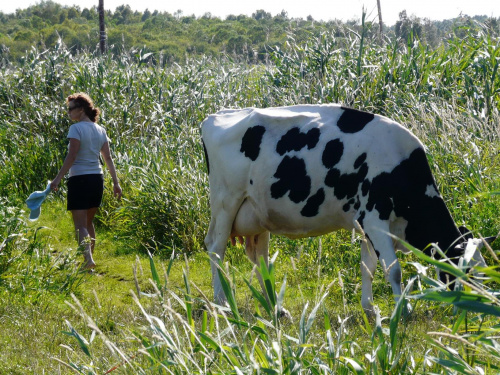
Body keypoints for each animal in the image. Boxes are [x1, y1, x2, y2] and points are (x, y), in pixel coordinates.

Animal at [201, 104, 490, 316]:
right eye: (468, 272)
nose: (484, 310)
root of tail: (217, 115)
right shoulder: (375, 219)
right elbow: (393, 269)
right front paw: (403, 310)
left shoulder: (365, 224)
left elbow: (368, 267)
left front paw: (370, 308)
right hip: (226, 203)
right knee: (216, 249)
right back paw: (223, 303)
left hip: (258, 215)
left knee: (259, 257)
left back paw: (276, 307)